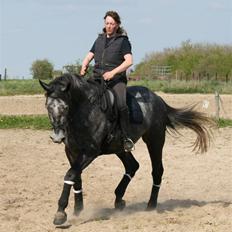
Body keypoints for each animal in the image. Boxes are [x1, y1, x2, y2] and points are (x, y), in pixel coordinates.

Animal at [39, 74, 213, 225]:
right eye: (48, 106)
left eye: (65, 107)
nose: (57, 136)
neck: (84, 113)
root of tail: (158, 99)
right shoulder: (71, 151)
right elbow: (76, 177)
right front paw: (78, 210)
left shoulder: (90, 152)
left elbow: (70, 174)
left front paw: (60, 213)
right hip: (120, 148)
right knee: (132, 166)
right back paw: (119, 200)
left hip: (154, 140)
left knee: (157, 170)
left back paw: (150, 205)